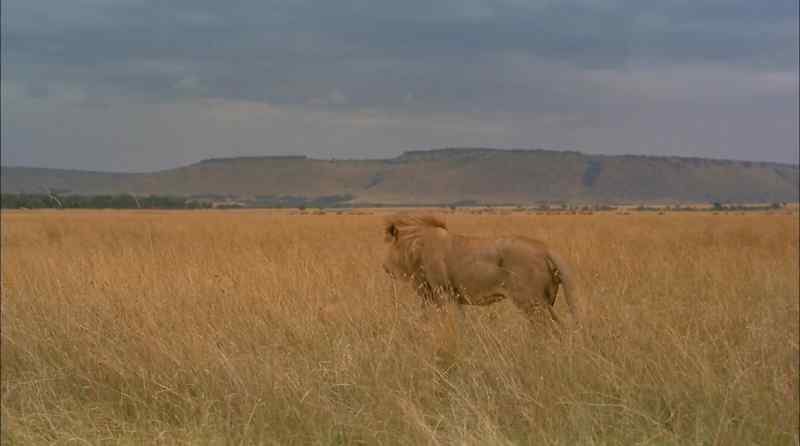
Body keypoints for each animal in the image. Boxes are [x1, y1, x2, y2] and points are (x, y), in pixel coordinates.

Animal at [382, 214, 579, 328]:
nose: (384, 267)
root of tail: (546, 248)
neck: (415, 248)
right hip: (545, 302)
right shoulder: (451, 297)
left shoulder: (442, 293)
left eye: (388, 246)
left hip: (531, 302)